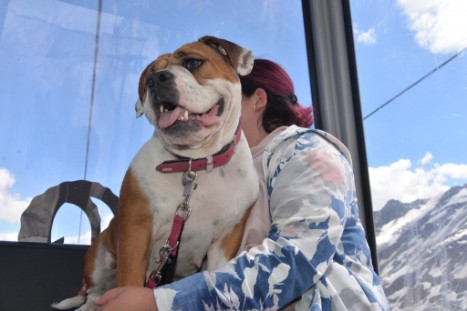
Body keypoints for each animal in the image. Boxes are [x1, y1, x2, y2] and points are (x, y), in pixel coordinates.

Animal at [54, 36, 264, 310]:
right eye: (148, 79)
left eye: (193, 62)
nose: (157, 79)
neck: (193, 163)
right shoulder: (136, 231)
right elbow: (130, 279)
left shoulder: (226, 240)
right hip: (99, 258)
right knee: (92, 297)